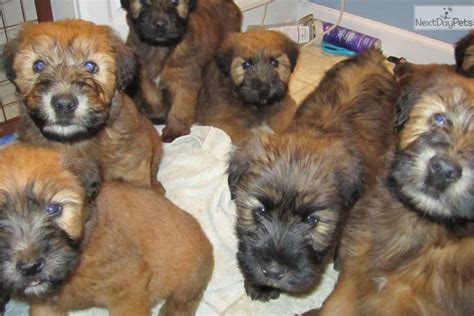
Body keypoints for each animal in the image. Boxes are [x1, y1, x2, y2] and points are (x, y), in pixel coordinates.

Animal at [0, 144, 213, 316]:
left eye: (53, 209)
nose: (30, 267)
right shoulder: (44, 304)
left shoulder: (128, 291)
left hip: (190, 272)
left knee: (187, 297)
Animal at [120, 0, 243, 141]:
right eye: (144, 2)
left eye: (174, 2)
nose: (160, 23)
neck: (159, 48)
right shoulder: (145, 77)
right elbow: (153, 98)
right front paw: (158, 115)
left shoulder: (184, 81)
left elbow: (180, 108)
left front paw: (174, 131)